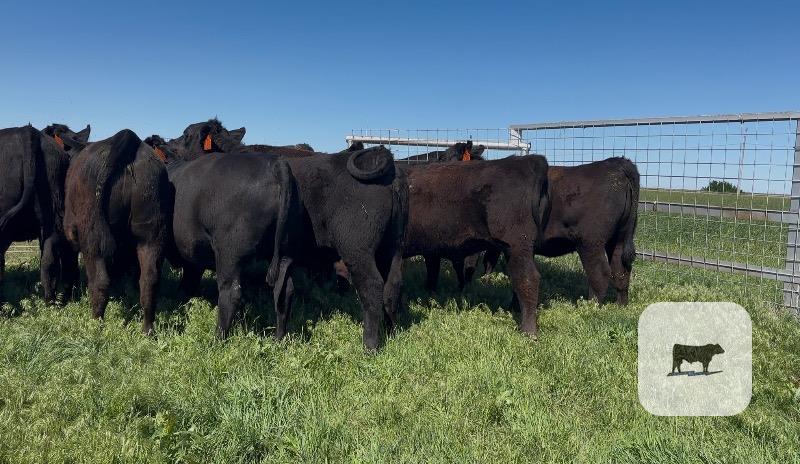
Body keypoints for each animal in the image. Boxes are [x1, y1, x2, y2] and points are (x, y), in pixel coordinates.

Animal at [64, 129, 171, 334]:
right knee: (149, 281)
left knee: (99, 282)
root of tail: (128, 138)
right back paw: (147, 331)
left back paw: (95, 326)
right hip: (152, 232)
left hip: (93, 236)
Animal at [401, 156, 550, 338]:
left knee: (527, 279)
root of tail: (528, 161)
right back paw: (514, 309)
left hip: (517, 245)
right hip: (521, 250)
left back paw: (528, 331)